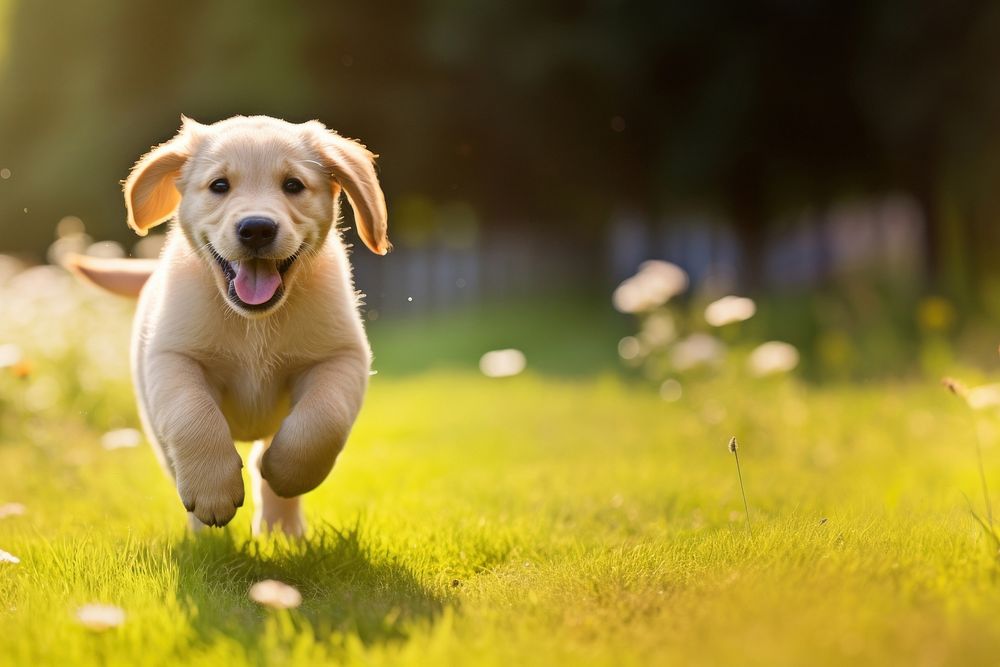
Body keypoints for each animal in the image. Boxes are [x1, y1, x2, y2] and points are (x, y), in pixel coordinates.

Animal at [70, 116, 388, 536]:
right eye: (219, 186)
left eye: (293, 185)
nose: (257, 228)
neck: (253, 323)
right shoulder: (173, 357)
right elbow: (193, 416)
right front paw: (212, 493)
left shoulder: (340, 356)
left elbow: (322, 420)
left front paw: (286, 473)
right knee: (176, 463)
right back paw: (206, 537)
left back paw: (282, 532)